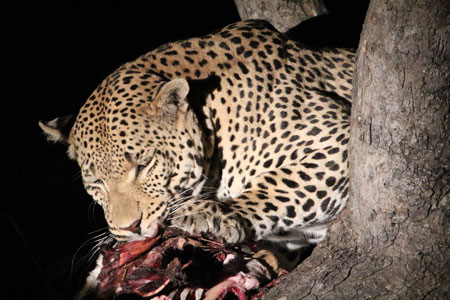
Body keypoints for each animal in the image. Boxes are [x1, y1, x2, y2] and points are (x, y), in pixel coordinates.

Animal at [40, 20, 354, 270]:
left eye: (144, 165)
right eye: (96, 182)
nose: (130, 228)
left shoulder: (335, 138)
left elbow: (281, 184)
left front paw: (215, 213)